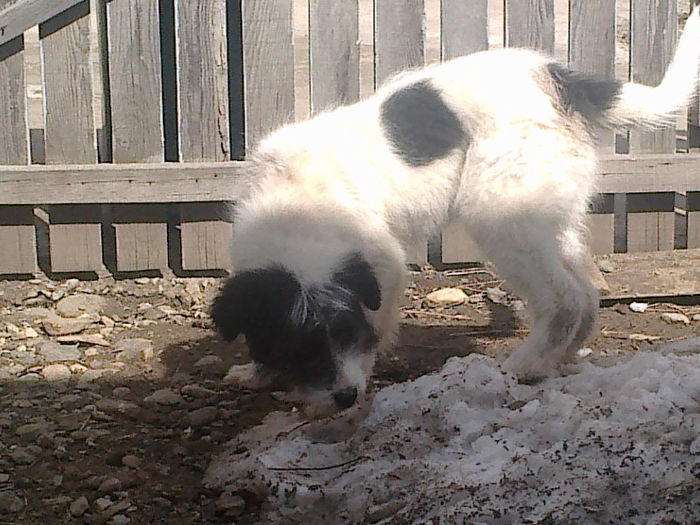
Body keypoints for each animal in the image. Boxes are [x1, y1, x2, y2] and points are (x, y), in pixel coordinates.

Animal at [212, 8, 700, 416]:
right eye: (297, 345)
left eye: (346, 330)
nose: (345, 398)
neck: (291, 207)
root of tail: (559, 80)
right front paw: (258, 373)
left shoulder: (385, 265)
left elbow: (376, 326)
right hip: (547, 218)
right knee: (588, 294)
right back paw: (558, 360)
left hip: (500, 215)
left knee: (567, 300)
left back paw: (524, 366)